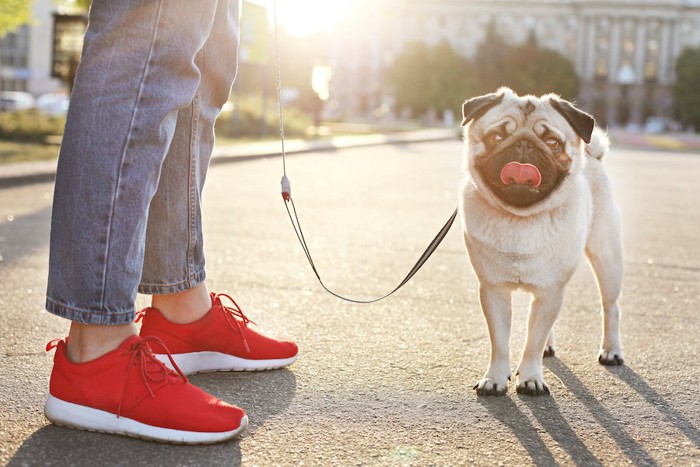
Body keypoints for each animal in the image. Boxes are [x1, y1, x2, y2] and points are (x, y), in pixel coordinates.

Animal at [460, 86, 624, 396]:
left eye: (552, 142)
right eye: (496, 137)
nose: (524, 146)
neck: (521, 218)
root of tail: (594, 158)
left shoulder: (551, 289)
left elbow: (533, 340)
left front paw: (530, 378)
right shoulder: (494, 289)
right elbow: (500, 341)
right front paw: (495, 378)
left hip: (607, 260)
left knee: (610, 307)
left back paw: (611, 350)